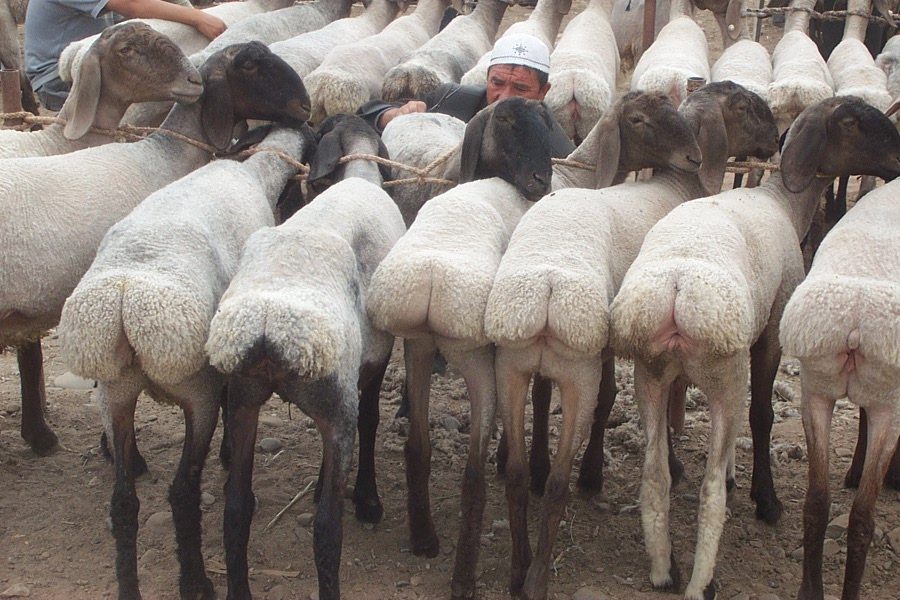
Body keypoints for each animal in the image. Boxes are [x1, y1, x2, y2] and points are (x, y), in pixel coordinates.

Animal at [57, 119, 314, 599]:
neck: (257, 172)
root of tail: (125, 301)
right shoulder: (221, 367)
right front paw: (230, 453)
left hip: (115, 391)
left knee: (123, 501)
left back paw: (129, 588)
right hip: (196, 390)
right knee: (182, 491)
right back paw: (196, 580)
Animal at [205, 118, 405, 600]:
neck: (361, 176)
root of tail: (266, 328)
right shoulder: (372, 364)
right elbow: (371, 420)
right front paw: (368, 499)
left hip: (243, 398)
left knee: (236, 511)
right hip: (332, 401)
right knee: (327, 531)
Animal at [366, 96, 554, 600]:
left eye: (547, 120)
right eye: (504, 120)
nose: (542, 180)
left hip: (422, 347)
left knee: (418, 447)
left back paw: (425, 537)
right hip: (471, 362)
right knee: (468, 471)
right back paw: (464, 573)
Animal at [484, 81, 778, 600]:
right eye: (743, 106)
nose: (776, 136)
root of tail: (545, 288)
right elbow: (617, 401)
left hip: (511, 361)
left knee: (517, 469)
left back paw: (519, 566)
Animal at [779, 175, 900, 600]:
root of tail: (854, 325)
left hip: (816, 389)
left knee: (817, 501)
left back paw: (810, 589)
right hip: (886, 403)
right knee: (862, 515)